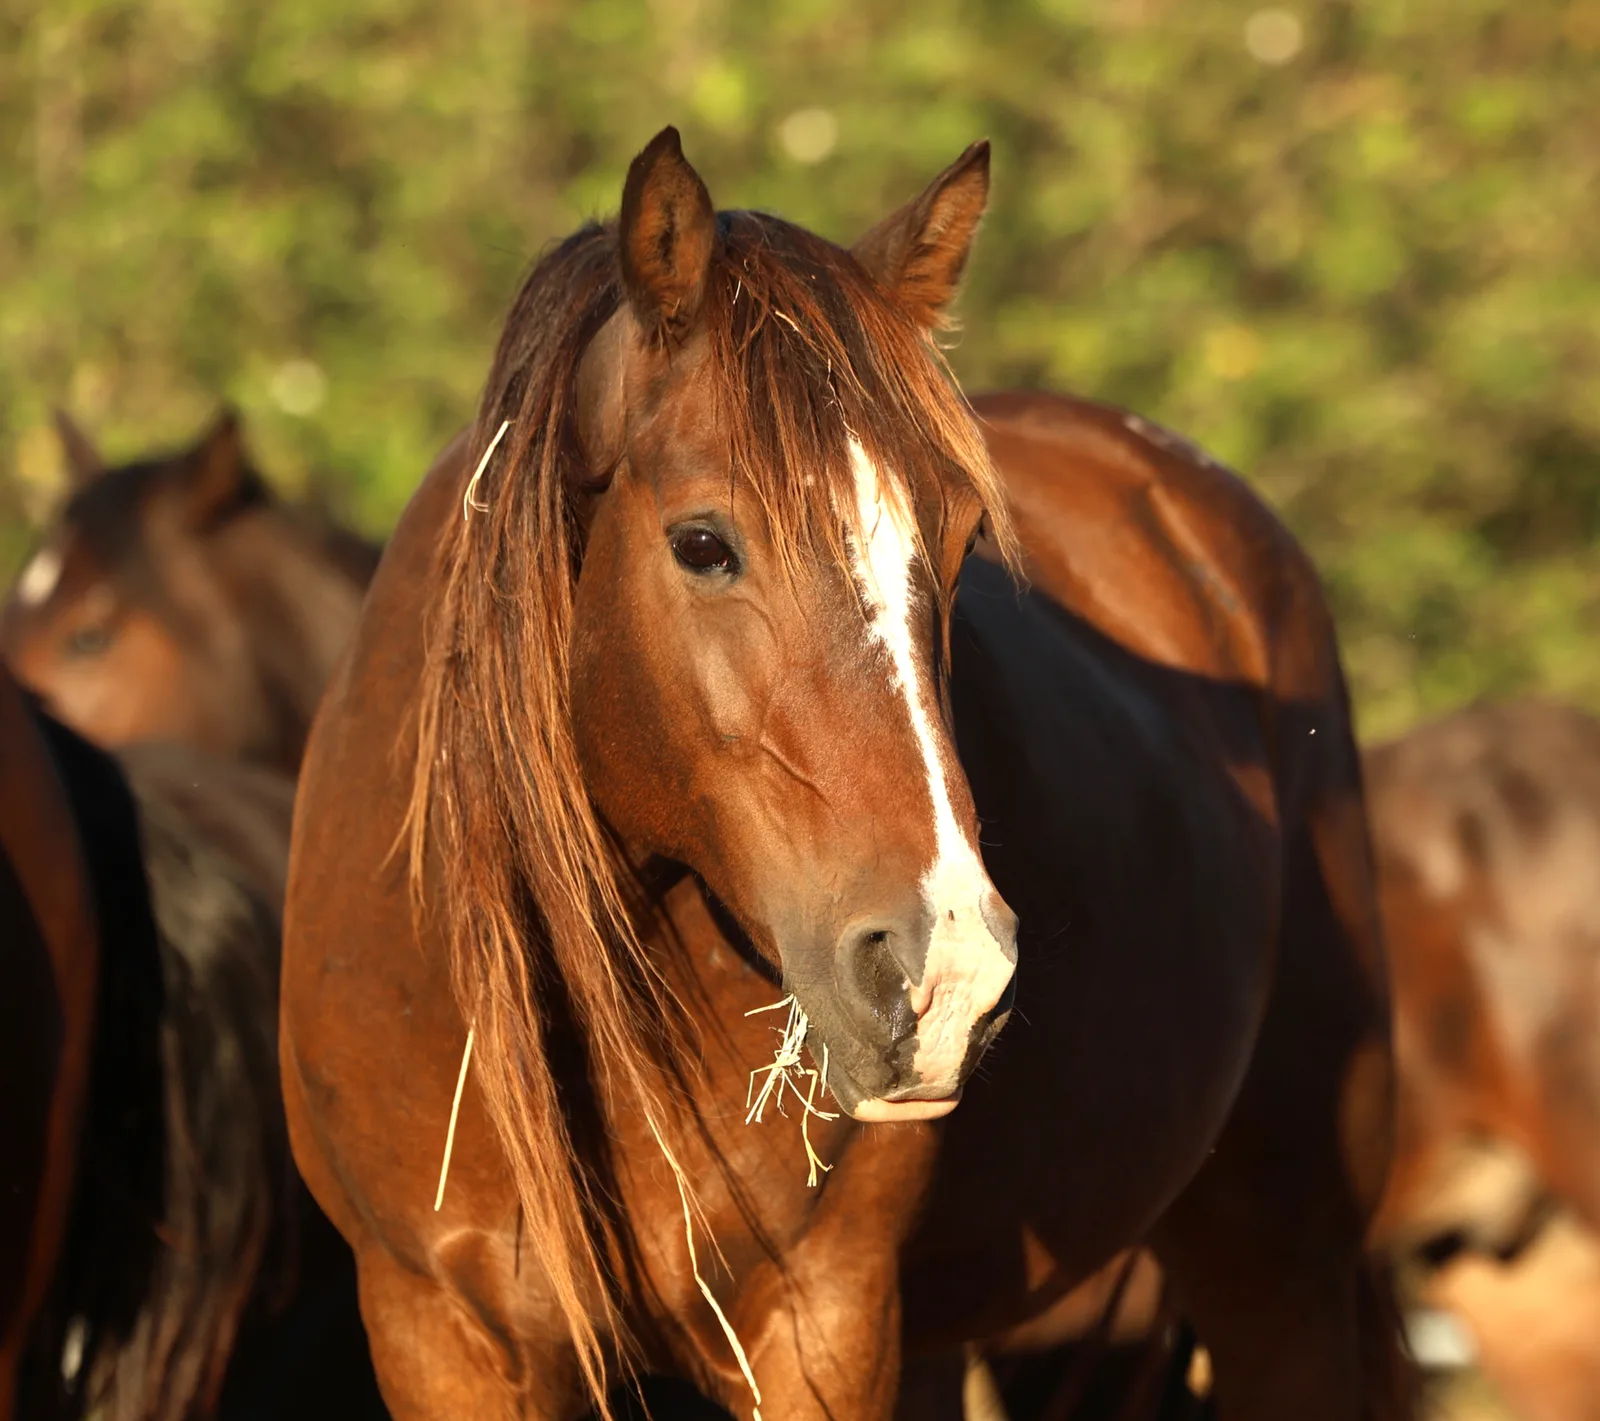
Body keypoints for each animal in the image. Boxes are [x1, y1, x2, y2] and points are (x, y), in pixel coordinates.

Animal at [280, 127, 1411, 1421]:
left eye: (962, 544)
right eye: (703, 543)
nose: (948, 970)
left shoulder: (822, 1313)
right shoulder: (438, 1330)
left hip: (1281, 1265)